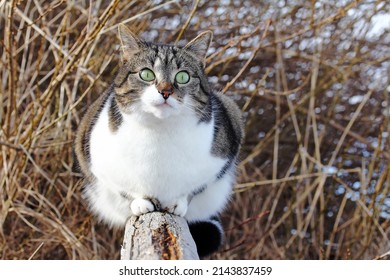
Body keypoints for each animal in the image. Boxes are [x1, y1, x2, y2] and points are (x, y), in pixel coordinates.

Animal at [73, 24, 244, 258]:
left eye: (183, 76)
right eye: (146, 74)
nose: (165, 91)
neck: (159, 132)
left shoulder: (224, 153)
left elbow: (195, 187)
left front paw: (178, 202)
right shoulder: (93, 158)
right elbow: (124, 188)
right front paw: (141, 202)